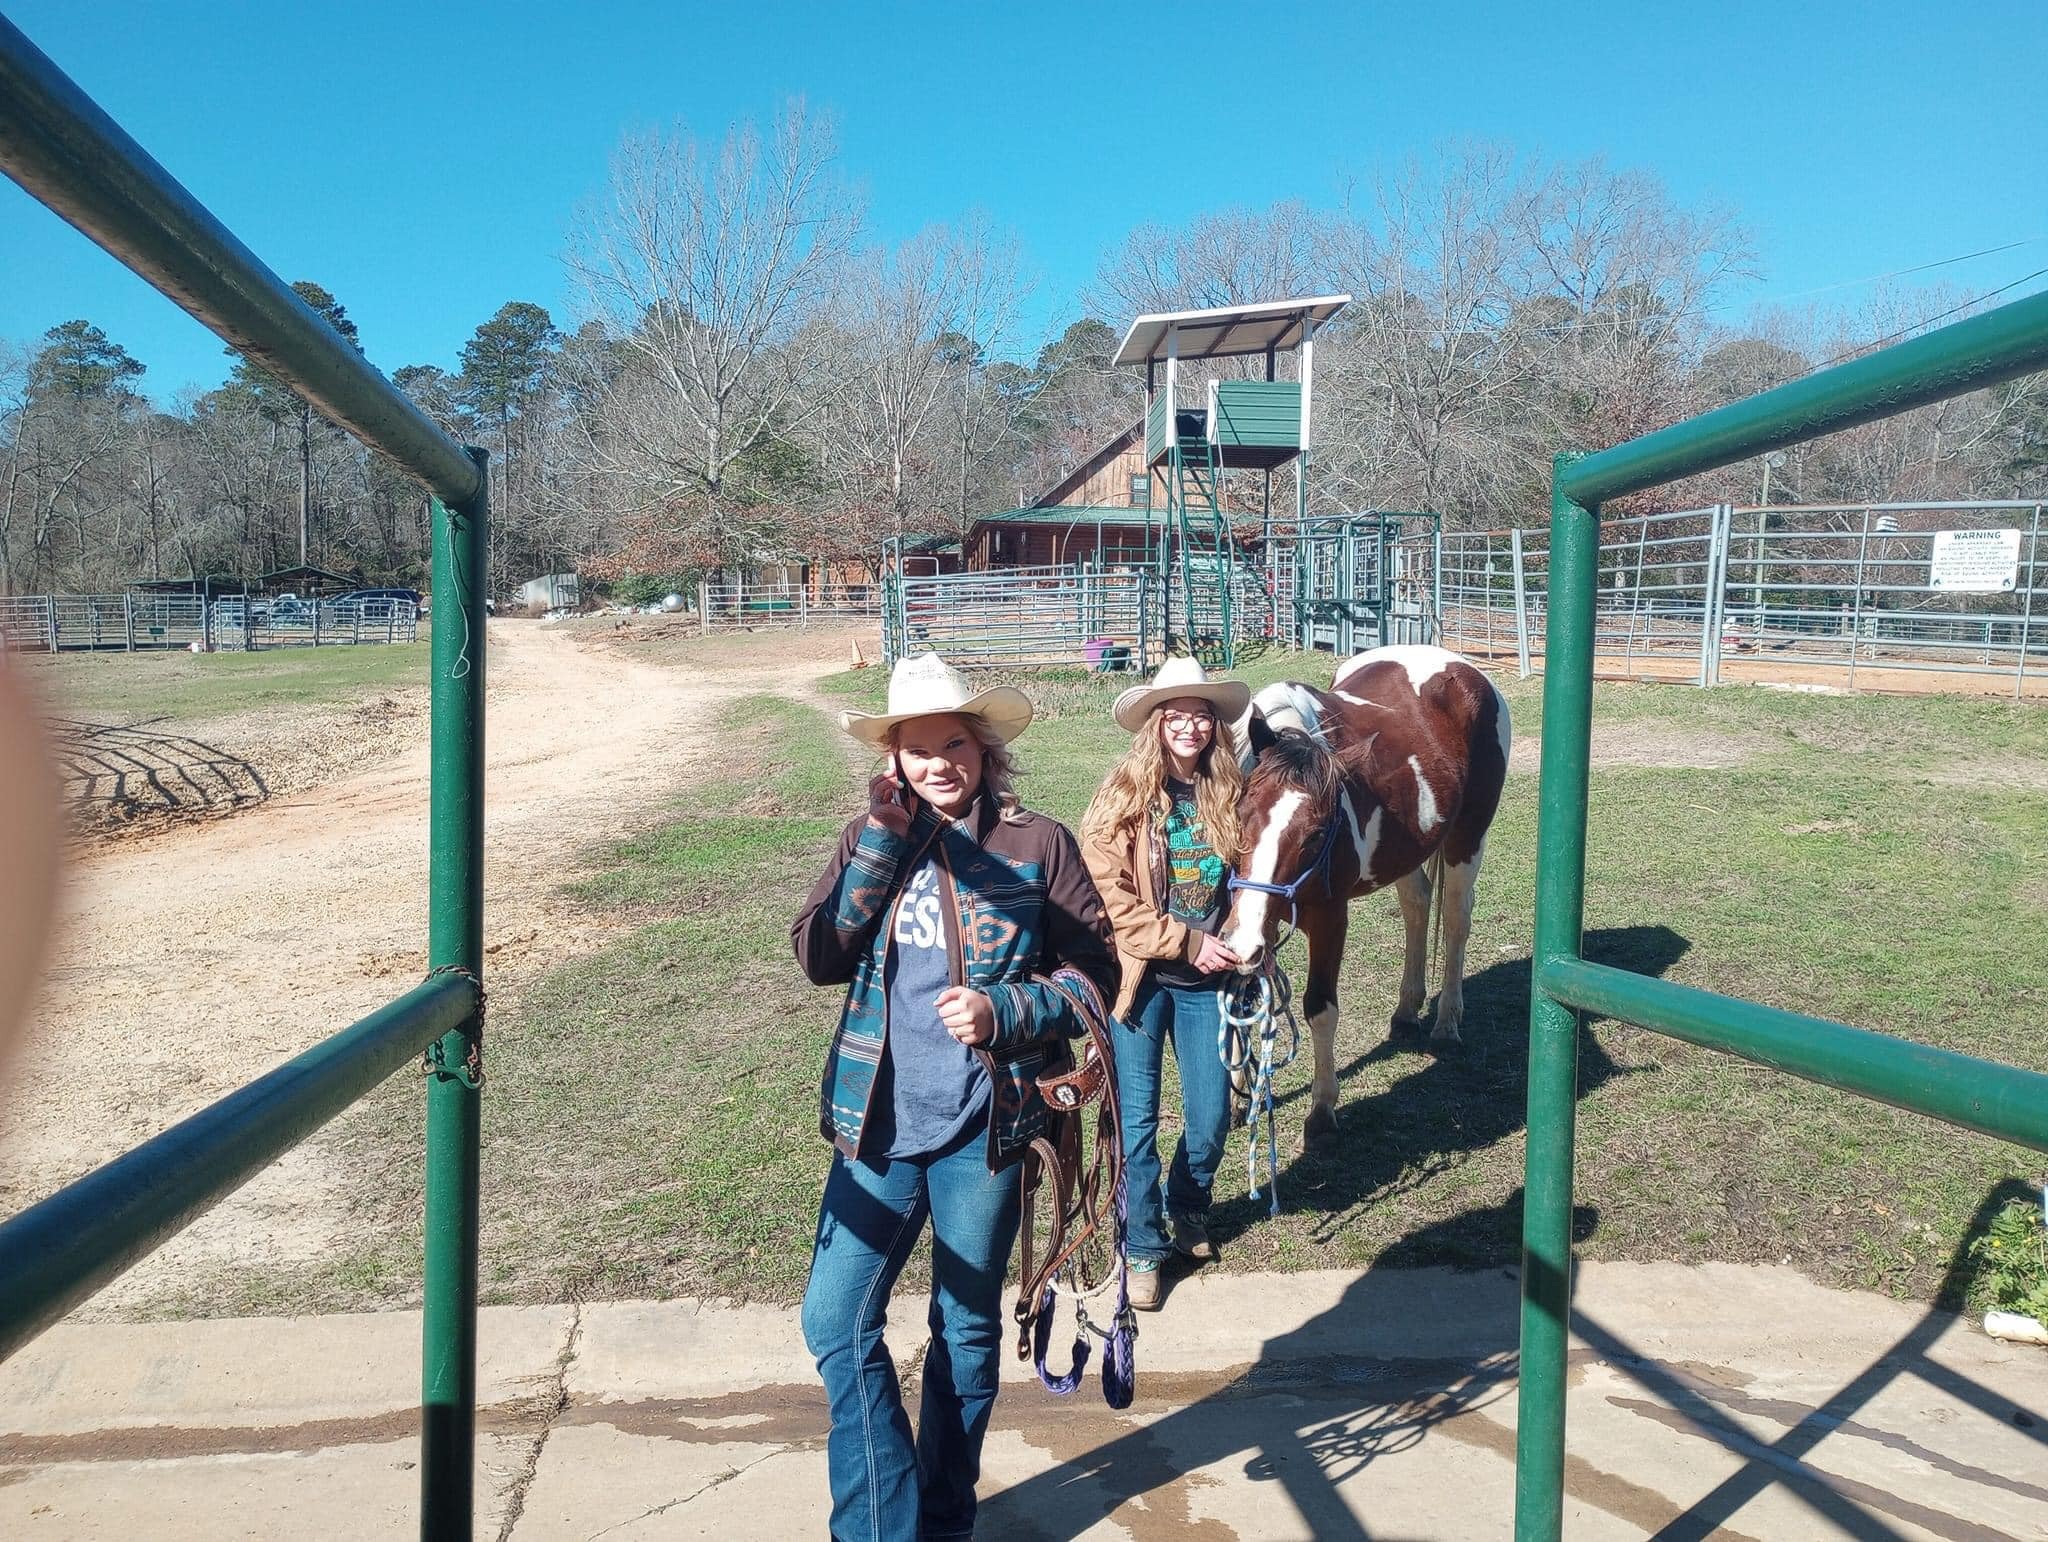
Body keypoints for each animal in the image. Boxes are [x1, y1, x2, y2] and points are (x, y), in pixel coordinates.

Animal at [1220, 643, 1511, 1144]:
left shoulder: (1327, 918)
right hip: (1411, 849)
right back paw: (1406, 1012)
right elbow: (1242, 995)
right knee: (1417, 907)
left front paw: (1322, 1110)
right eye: (1241, 814)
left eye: (1317, 834)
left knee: (1456, 919)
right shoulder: (1249, 918)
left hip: (1467, 838)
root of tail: (1462, 667)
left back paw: (1446, 1022)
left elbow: (1320, 1007)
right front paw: (1240, 1100)